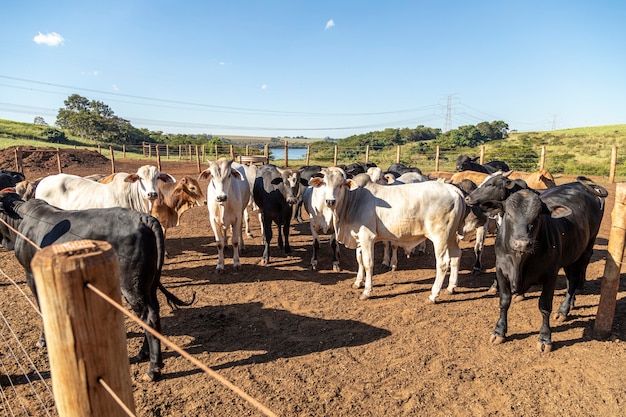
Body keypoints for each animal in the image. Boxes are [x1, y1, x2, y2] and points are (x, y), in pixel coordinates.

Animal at [0, 191, 194, 380]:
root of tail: (143, 217)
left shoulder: (31, 274)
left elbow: (42, 307)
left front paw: (43, 339)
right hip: (147, 284)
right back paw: (143, 353)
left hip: (132, 286)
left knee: (149, 316)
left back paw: (153, 368)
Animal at [310, 167, 466, 300]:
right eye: (325, 183)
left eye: (341, 184)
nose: (330, 201)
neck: (354, 200)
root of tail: (453, 190)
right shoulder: (359, 238)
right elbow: (359, 260)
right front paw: (358, 282)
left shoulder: (367, 237)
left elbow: (368, 263)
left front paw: (367, 291)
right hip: (451, 236)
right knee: (456, 256)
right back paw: (451, 287)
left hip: (440, 237)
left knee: (443, 263)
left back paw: (434, 294)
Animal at [478, 176, 604, 352]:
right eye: (508, 214)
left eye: (538, 216)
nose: (522, 243)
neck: (519, 261)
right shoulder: (501, 270)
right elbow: (504, 301)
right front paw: (499, 331)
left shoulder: (550, 274)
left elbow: (544, 306)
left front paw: (545, 338)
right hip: (571, 253)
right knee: (571, 279)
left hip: (586, 249)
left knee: (574, 280)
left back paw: (564, 310)